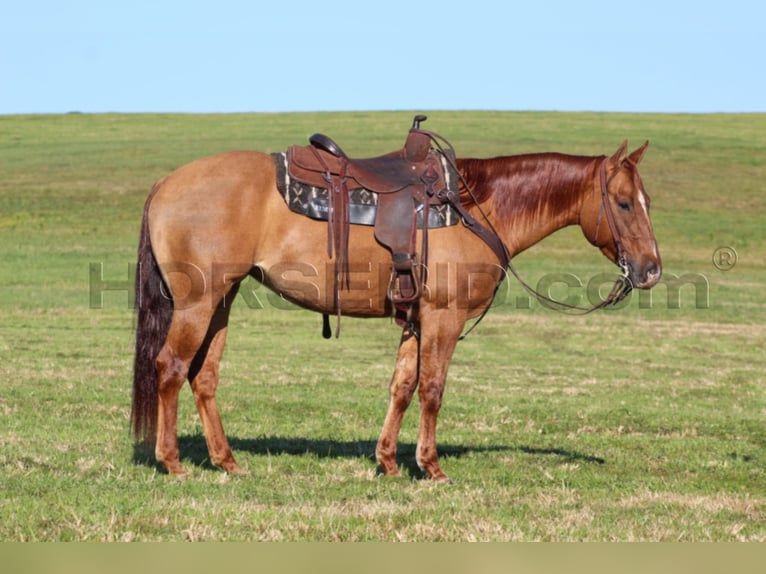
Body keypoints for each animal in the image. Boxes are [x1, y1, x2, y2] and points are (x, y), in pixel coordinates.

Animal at [130, 128, 660, 484]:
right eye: (624, 203)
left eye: (647, 200)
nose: (651, 269)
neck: (476, 208)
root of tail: (165, 183)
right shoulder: (443, 315)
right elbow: (432, 388)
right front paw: (432, 467)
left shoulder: (416, 318)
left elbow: (402, 386)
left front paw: (387, 461)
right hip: (198, 302)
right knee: (171, 366)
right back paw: (172, 462)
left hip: (222, 300)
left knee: (204, 376)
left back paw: (227, 461)